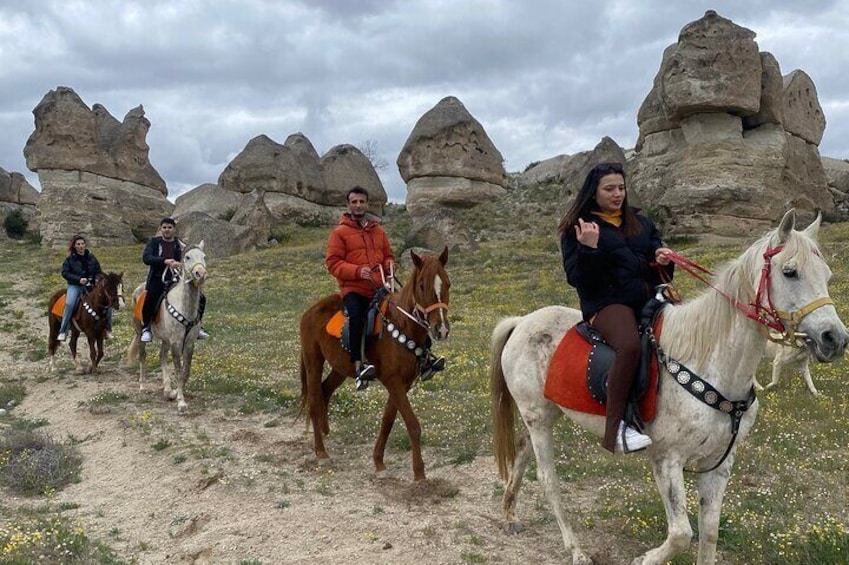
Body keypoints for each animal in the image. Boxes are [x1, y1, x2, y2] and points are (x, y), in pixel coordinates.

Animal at [126, 241, 208, 410]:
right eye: (187, 257)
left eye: (204, 256)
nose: (201, 274)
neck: (185, 306)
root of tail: (138, 289)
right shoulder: (176, 343)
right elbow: (178, 369)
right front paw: (181, 401)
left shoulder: (189, 343)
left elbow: (185, 371)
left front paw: (174, 393)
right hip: (139, 333)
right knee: (142, 356)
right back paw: (143, 386)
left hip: (165, 340)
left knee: (162, 356)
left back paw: (167, 388)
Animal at [302, 247, 454, 480]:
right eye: (422, 285)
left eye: (447, 283)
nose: (442, 329)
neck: (403, 324)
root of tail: (310, 310)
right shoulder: (393, 381)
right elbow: (412, 424)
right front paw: (419, 473)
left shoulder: (403, 384)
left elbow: (387, 420)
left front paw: (379, 462)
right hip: (313, 362)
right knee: (314, 399)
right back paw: (321, 451)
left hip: (339, 368)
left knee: (325, 391)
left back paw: (325, 433)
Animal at [486, 210, 844, 564]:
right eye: (790, 272)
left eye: (827, 275)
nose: (835, 339)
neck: (709, 364)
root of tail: (522, 322)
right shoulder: (666, 459)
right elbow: (682, 534)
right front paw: (645, 559)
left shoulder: (720, 463)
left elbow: (708, 533)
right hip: (538, 419)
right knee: (548, 480)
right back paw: (575, 550)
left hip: (546, 415)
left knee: (521, 455)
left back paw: (510, 515)